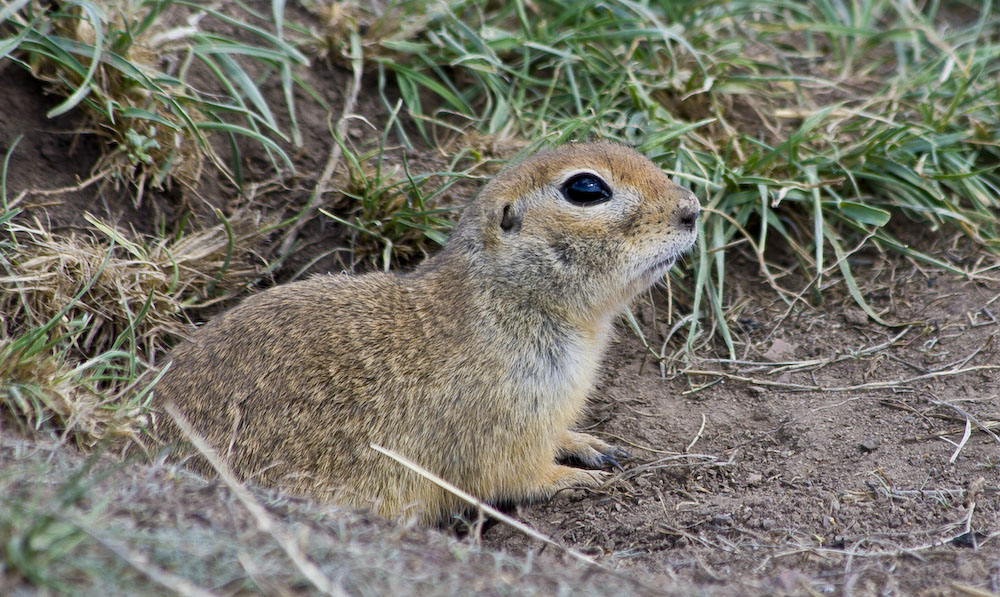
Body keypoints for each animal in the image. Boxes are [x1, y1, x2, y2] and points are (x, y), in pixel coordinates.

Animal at [158, 142, 704, 524]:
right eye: (586, 189)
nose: (693, 208)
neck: (509, 300)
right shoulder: (503, 419)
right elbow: (516, 474)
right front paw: (581, 481)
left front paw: (594, 445)